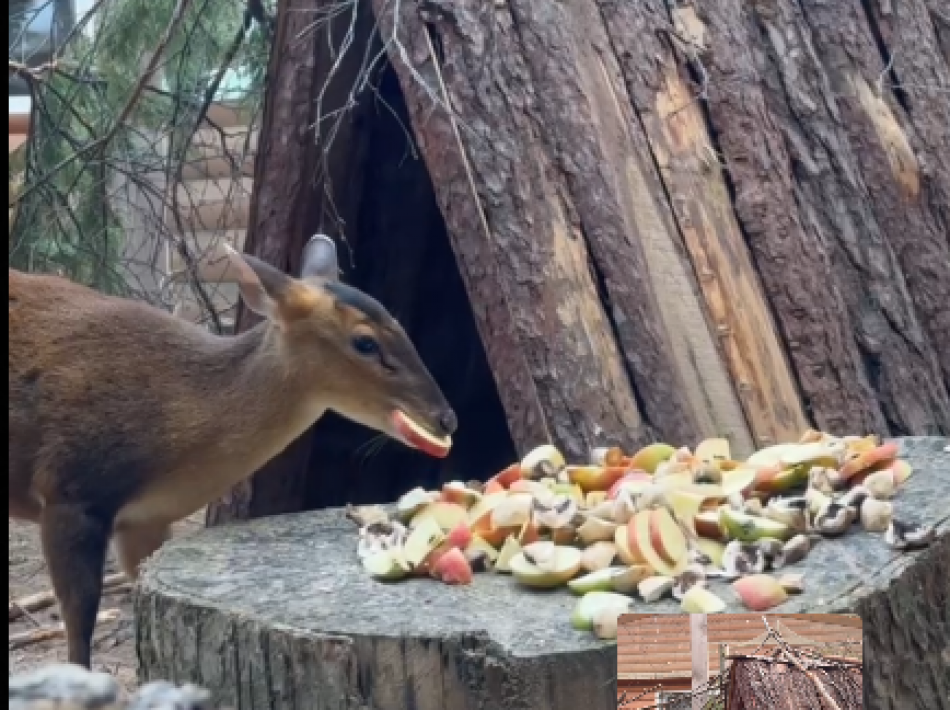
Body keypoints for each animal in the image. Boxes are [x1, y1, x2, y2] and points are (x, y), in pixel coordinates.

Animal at [8, 236, 458, 672]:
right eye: (365, 342)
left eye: (400, 326)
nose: (446, 418)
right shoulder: (70, 488)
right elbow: (79, 635)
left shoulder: (146, 521)